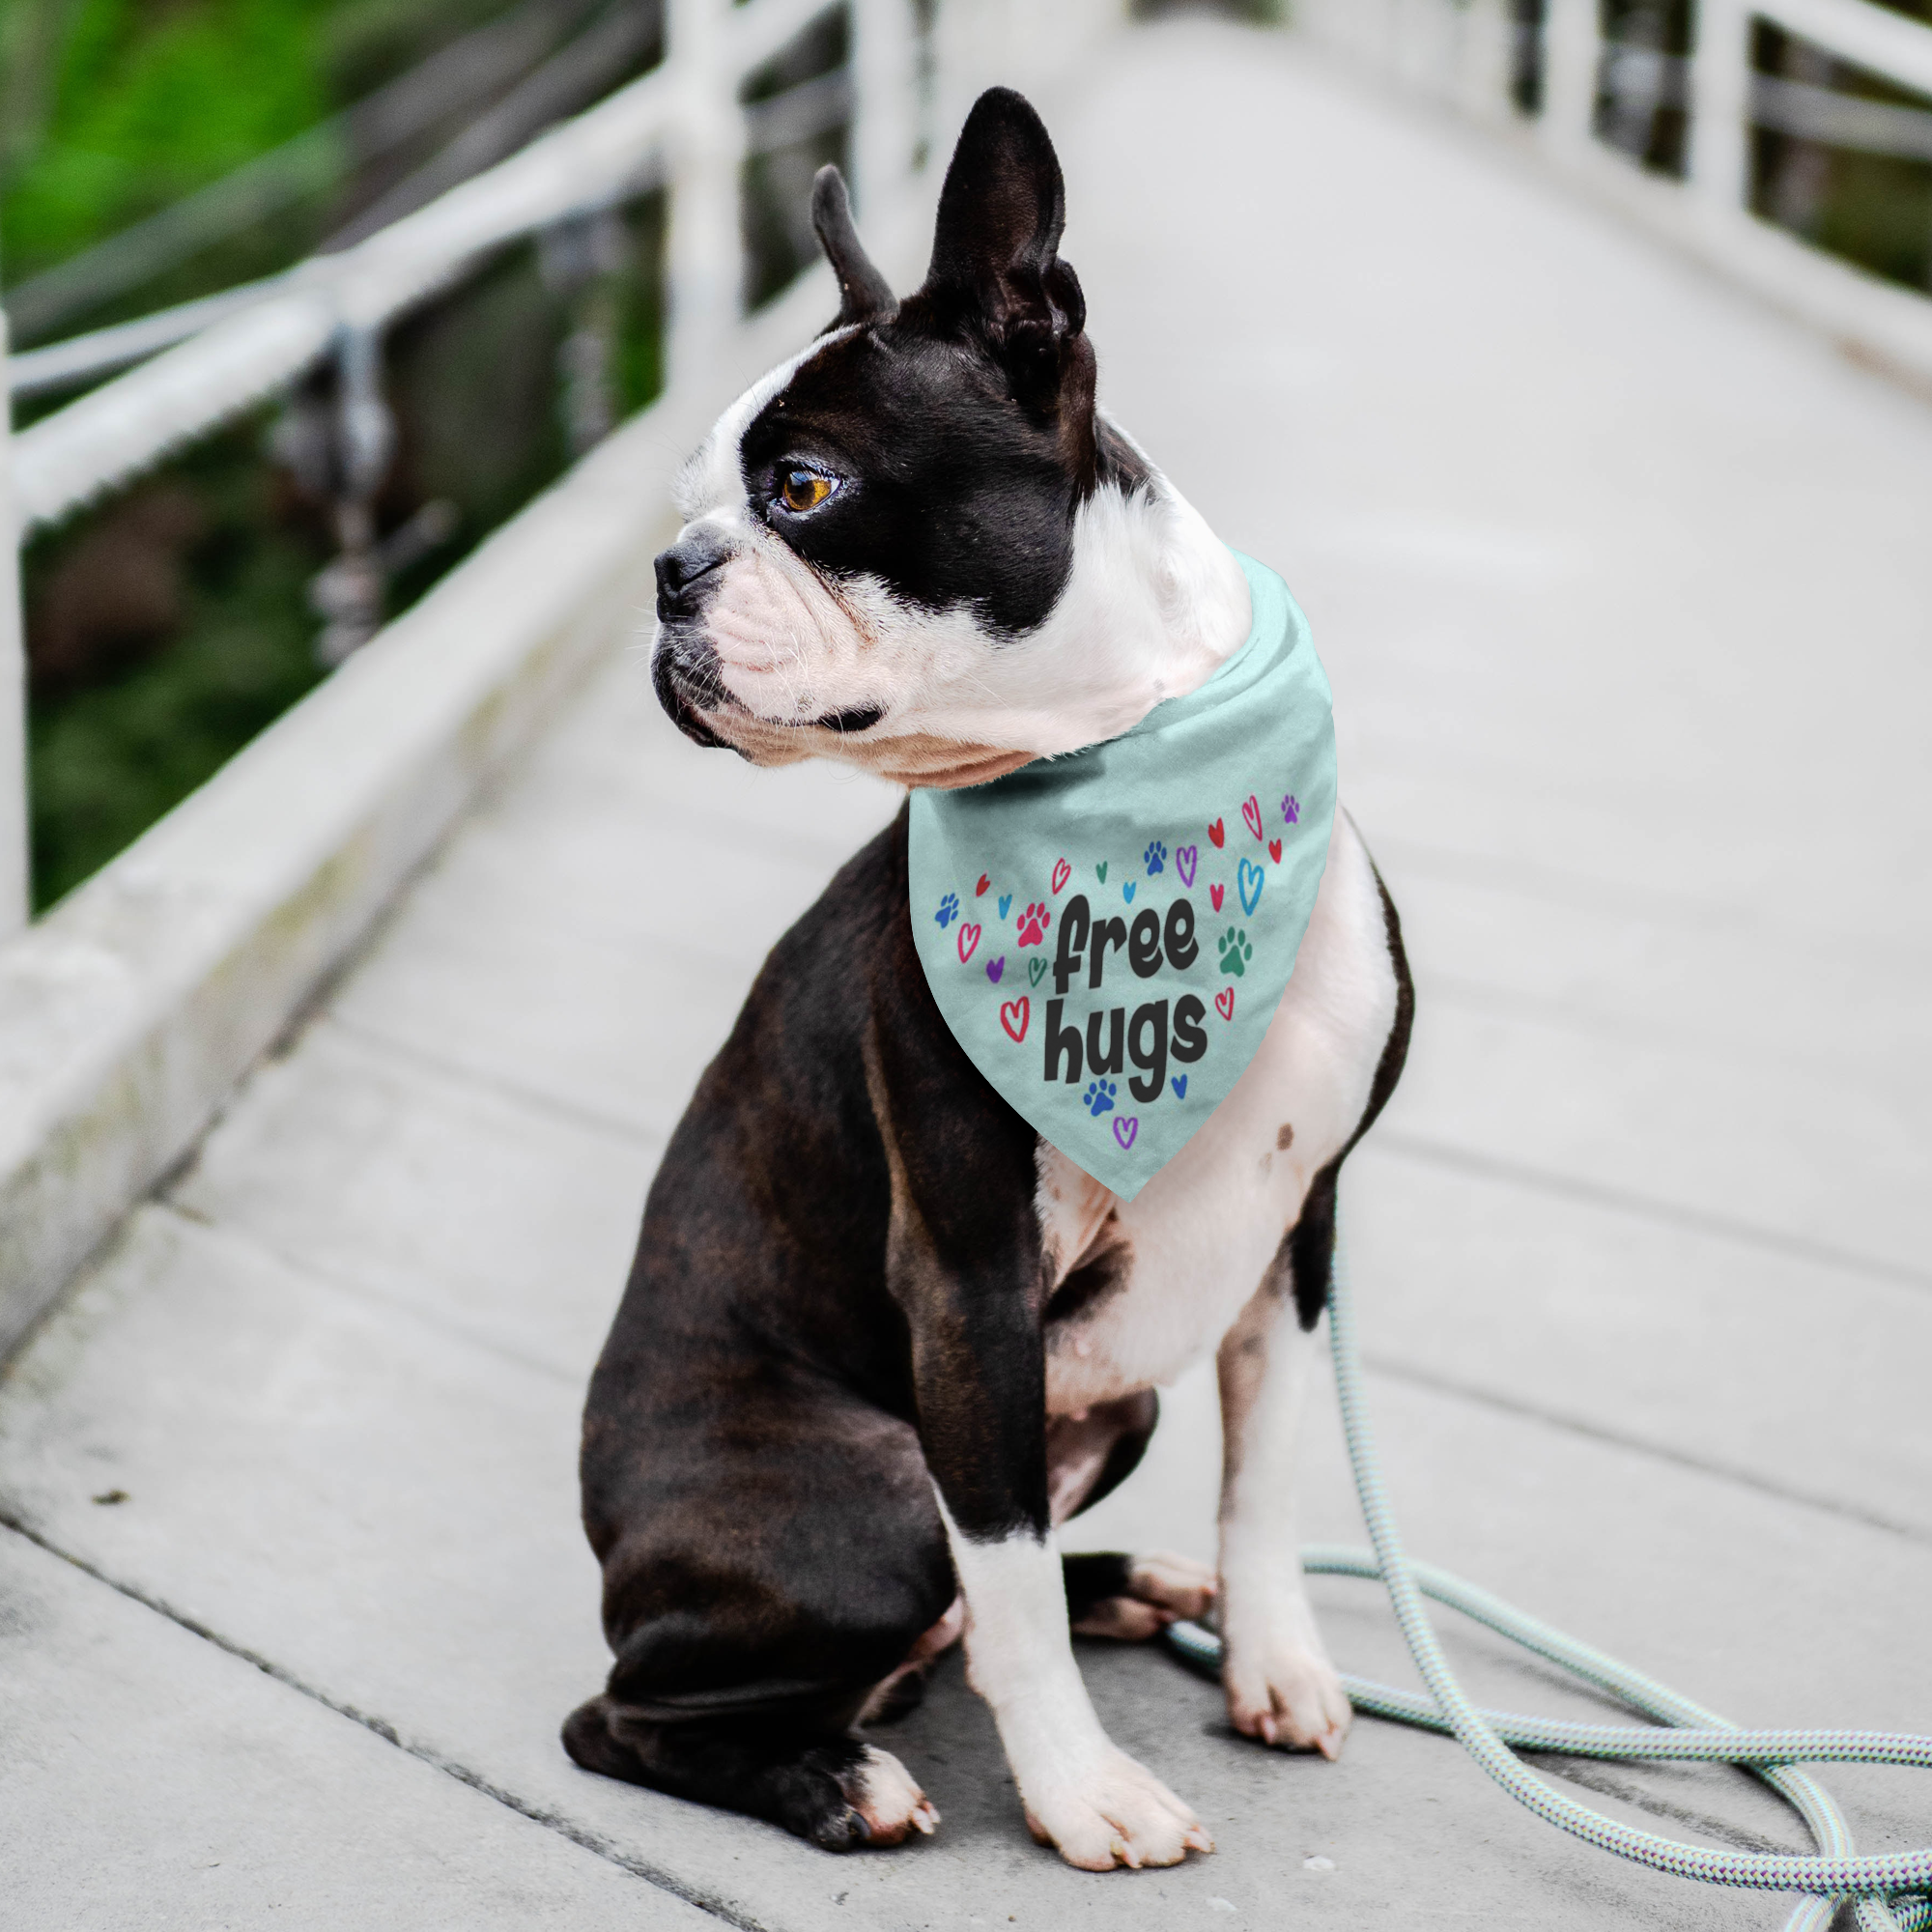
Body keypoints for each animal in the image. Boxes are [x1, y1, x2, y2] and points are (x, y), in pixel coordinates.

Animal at [564, 83, 1414, 1862]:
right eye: (695, 500)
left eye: (802, 488)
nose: (670, 571)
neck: (1125, 766)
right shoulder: (967, 1280)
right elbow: (1006, 1575)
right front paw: (1083, 1793)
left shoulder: (1298, 1237)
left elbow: (1268, 1478)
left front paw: (1277, 1660)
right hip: (876, 1496)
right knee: (640, 1710)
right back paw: (835, 1777)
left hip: (1115, 1406)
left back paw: (1139, 1586)